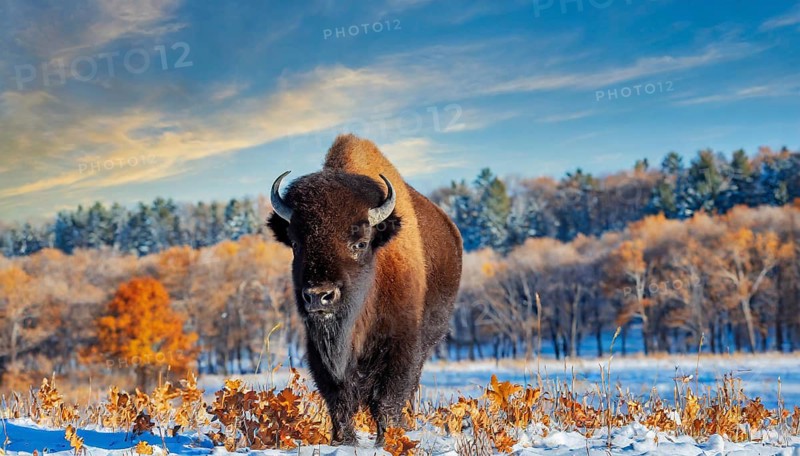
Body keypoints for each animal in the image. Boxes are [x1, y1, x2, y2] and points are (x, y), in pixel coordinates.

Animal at [267, 134, 462, 445]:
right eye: (296, 244)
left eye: (359, 243)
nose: (319, 296)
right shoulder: (319, 350)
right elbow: (339, 399)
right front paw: (344, 440)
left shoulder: (401, 342)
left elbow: (388, 397)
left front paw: (388, 439)